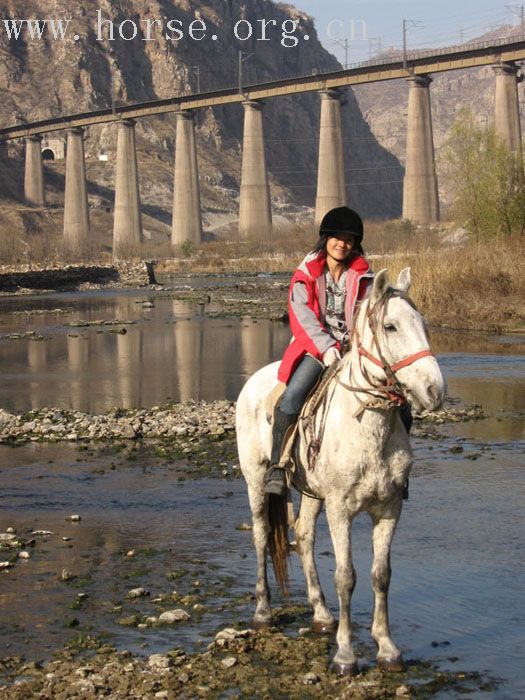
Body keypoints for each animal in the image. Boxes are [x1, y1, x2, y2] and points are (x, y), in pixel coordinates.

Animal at [235, 268, 444, 672]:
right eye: (391, 326)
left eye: (423, 324)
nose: (435, 390)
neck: (367, 425)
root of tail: (253, 381)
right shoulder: (340, 510)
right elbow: (346, 577)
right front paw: (346, 655)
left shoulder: (389, 509)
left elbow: (381, 575)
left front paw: (387, 648)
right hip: (255, 480)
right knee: (261, 535)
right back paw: (263, 610)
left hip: (311, 491)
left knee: (303, 535)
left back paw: (321, 614)